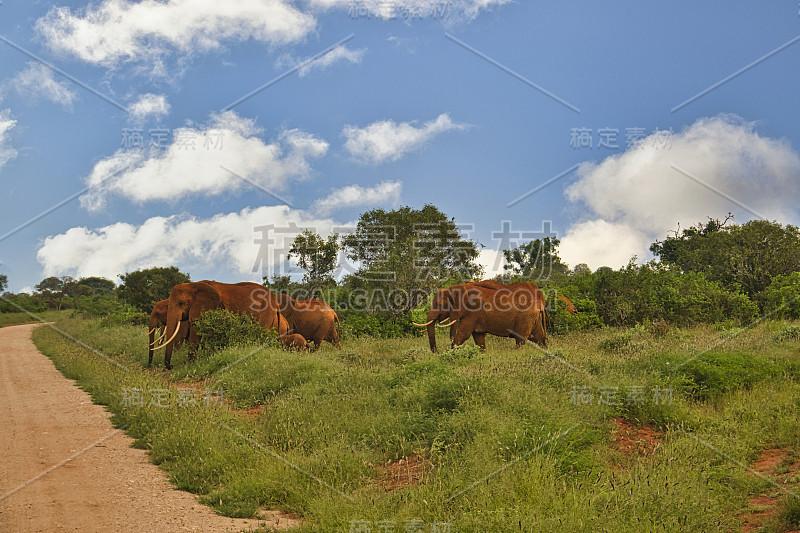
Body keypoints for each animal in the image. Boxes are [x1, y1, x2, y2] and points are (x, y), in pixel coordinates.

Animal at [412, 280, 552, 352]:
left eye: (439, 304)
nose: (437, 352)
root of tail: (540, 300)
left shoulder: (471, 313)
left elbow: (463, 335)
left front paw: (452, 353)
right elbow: (478, 338)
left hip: (525, 317)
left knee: (520, 340)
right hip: (533, 317)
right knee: (539, 337)